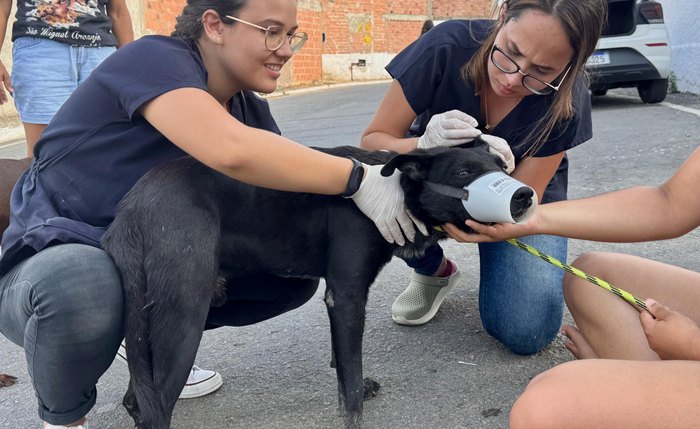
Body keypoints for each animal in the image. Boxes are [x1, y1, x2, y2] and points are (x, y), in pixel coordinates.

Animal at [101, 139, 532, 426]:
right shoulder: (347, 294)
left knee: (137, 397)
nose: (525, 195)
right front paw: (354, 413)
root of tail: (130, 208)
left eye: (503, 167)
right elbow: (351, 385)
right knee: (155, 404)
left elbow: (345, 361)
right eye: (464, 173)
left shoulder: (339, 298)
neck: (394, 189)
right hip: (184, 314)